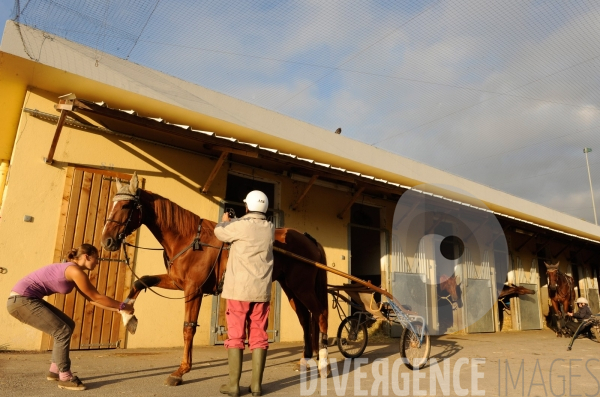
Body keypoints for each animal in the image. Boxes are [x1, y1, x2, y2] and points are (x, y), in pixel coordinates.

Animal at [101, 173, 330, 384]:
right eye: (113, 203)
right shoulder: (177, 283)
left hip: (302, 288)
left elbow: (188, 327)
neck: (190, 239)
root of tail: (308, 239)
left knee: (320, 313)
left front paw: (181, 370)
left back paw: (323, 363)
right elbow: (141, 281)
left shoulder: (194, 289)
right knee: (304, 318)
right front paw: (128, 316)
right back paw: (307, 359)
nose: (107, 241)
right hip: (290, 287)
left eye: (126, 205)